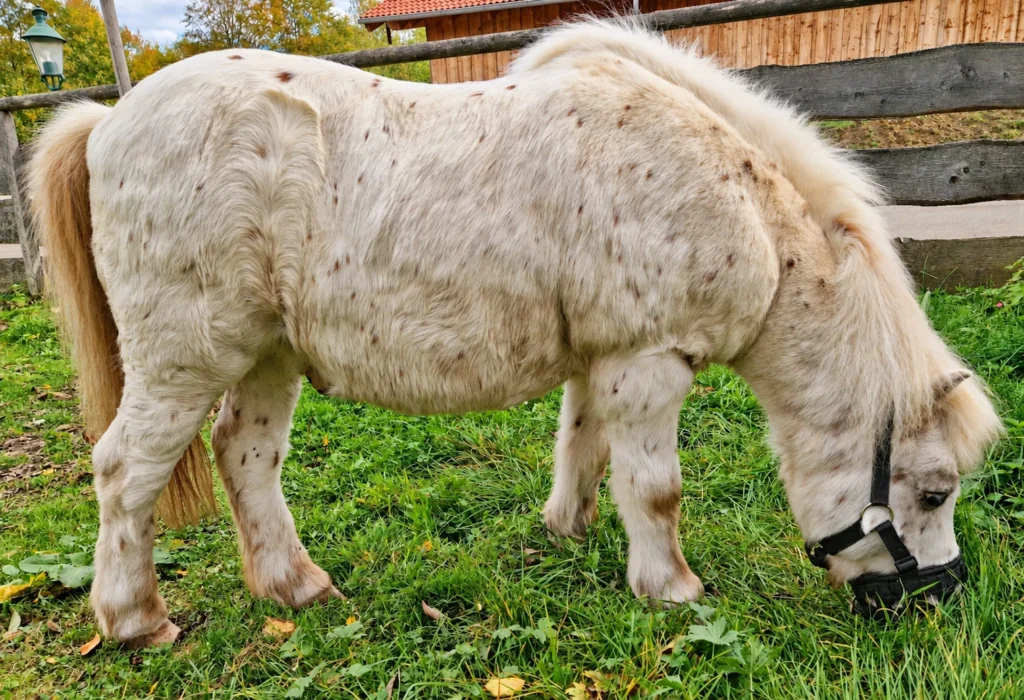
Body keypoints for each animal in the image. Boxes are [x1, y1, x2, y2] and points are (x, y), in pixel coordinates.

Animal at [28, 19, 1001, 648]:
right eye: (932, 492)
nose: (942, 598)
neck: (729, 196)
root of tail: (108, 120)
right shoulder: (650, 361)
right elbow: (657, 491)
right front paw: (672, 591)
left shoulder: (603, 359)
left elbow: (583, 446)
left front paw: (568, 531)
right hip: (184, 359)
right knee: (124, 473)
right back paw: (134, 621)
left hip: (267, 352)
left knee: (245, 456)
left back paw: (295, 586)